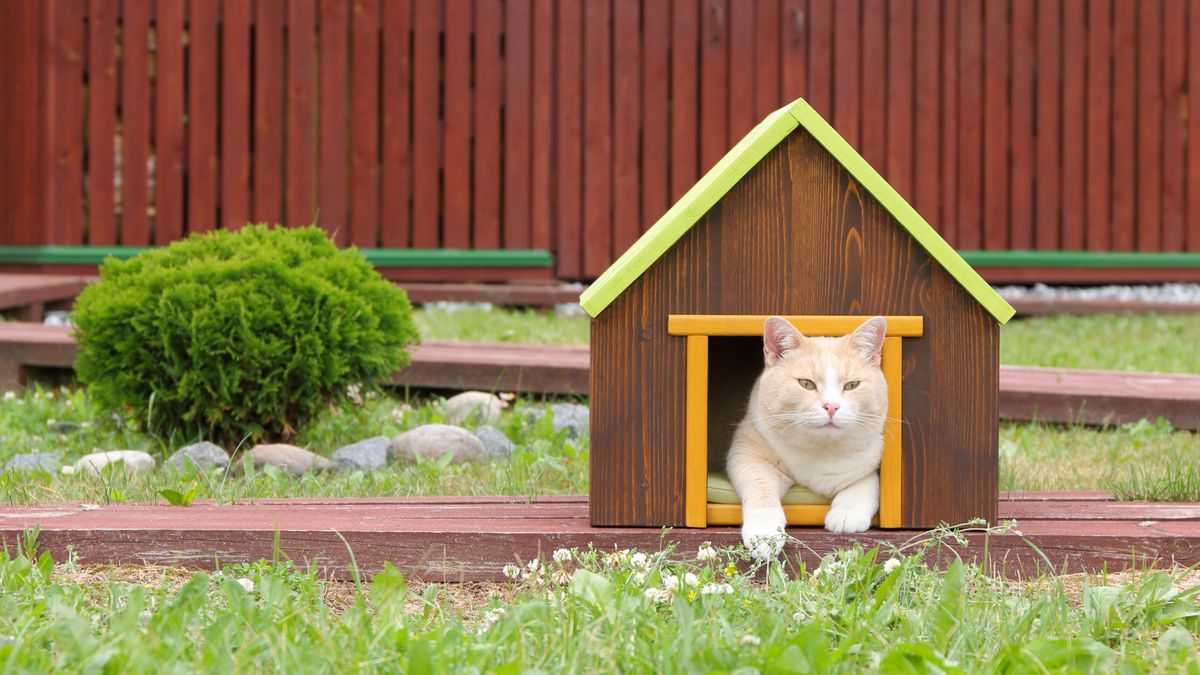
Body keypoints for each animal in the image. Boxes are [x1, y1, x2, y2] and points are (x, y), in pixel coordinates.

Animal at [720, 314, 892, 557]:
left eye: (852, 385)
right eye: (806, 384)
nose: (831, 406)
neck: (820, 449)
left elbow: (866, 482)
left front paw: (847, 513)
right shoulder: (747, 453)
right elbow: (760, 488)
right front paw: (764, 534)